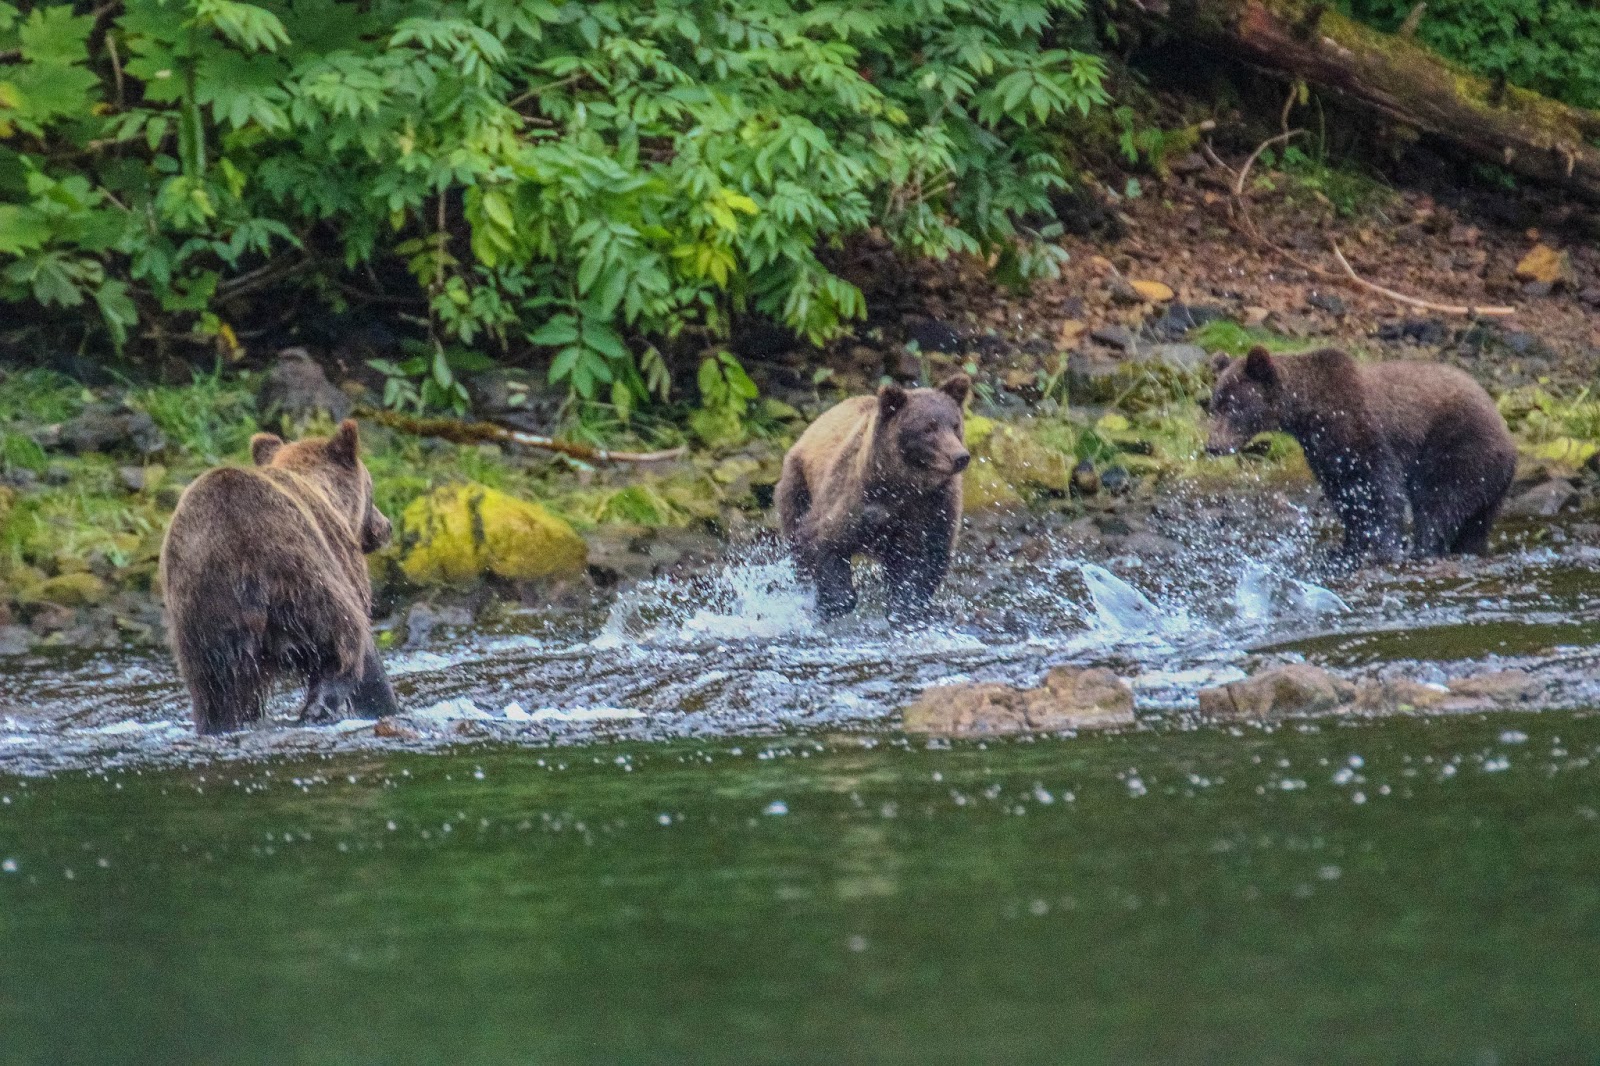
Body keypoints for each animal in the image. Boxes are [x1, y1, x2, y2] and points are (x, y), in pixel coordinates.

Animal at [158, 419, 399, 735]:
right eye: (372, 490)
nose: (387, 526)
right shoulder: (341, 560)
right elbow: (365, 648)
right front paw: (380, 702)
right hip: (303, 579)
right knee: (340, 642)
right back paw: (319, 707)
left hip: (202, 614)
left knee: (215, 693)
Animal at [777, 375, 971, 620]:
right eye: (929, 428)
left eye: (955, 425)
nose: (960, 457)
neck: (901, 483)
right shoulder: (853, 497)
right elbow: (822, 539)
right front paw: (835, 602)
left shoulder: (934, 507)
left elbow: (926, 559)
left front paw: (906, 606)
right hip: (798, 484)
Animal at [1205, 346, 1515, 564]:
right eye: (1214, 404)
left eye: (1233, 406)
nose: (1212, 446)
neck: (1310, 413)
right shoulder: (1325, 453)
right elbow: (1347, 496)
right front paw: (1349, 545)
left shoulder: (1360, 430)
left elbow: (1380, 490)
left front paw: (1380, 546)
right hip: (1489, 488)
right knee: (1474, 524)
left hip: (1461, 448)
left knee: (1439, 501)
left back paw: (1423, 547)